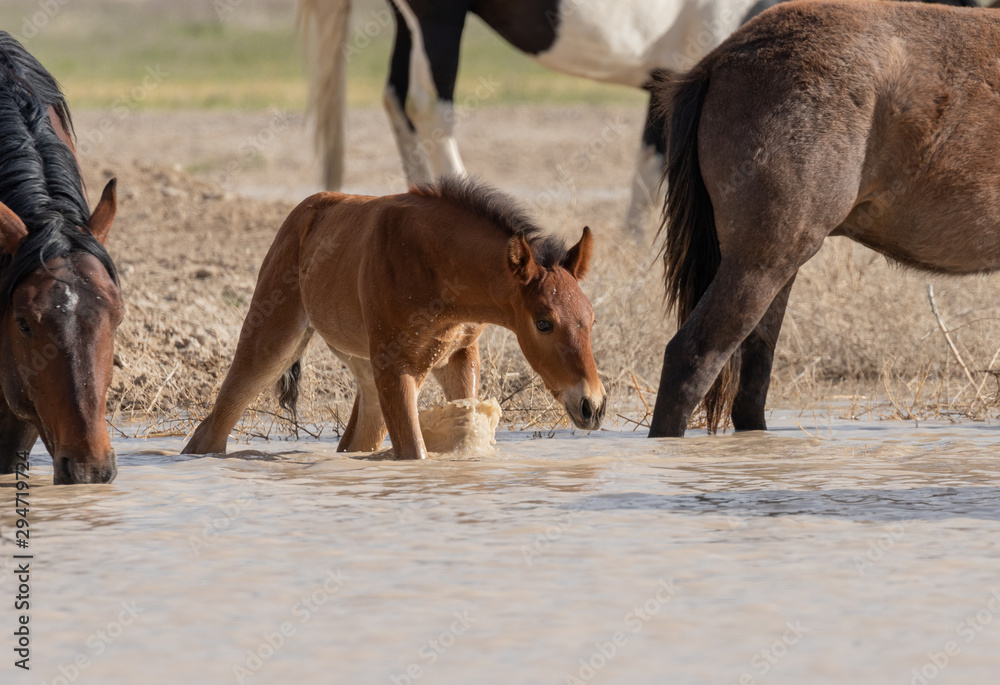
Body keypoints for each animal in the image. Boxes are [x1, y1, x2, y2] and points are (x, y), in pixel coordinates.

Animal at [182, 177, 605, 459]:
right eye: (543, 322)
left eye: (590, 319)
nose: (593, 406)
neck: (438, 267)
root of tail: (302, 215)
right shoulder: (397, 365)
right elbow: (414, 452)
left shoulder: (459, 356)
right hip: (273, 341)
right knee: (212, 428)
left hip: (364, 368)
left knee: (356, 441)